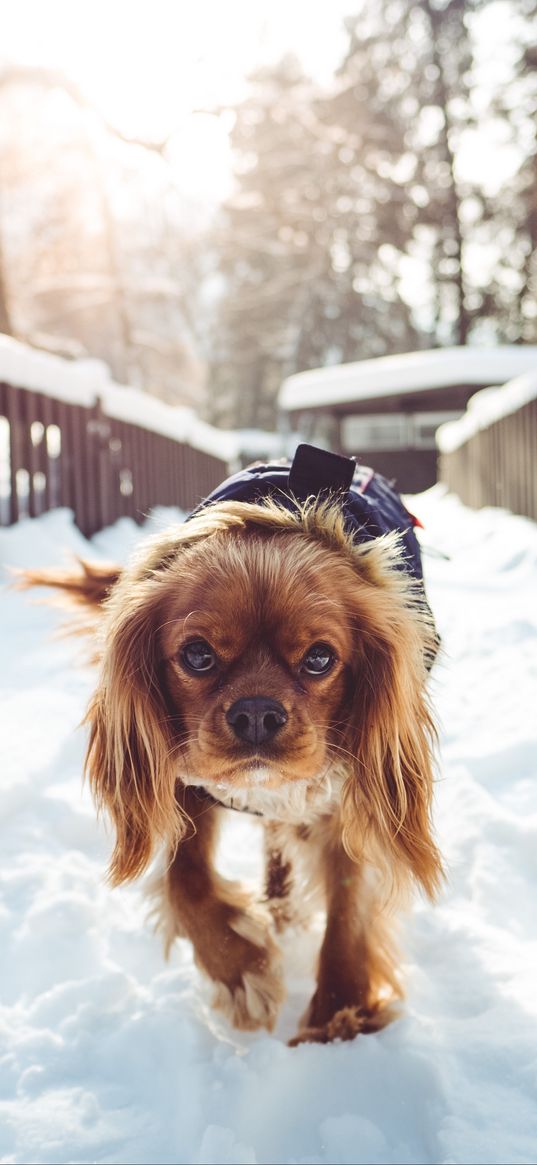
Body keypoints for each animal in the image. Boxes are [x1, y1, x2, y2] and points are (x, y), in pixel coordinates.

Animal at [25, 440, 442, 1043]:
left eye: (320, 658)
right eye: (197, 655)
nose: (256, 714)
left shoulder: (348, 798)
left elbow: (348, 909)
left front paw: (338, 1018)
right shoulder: (188, 786)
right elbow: (186, 883)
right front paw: (242, 972)